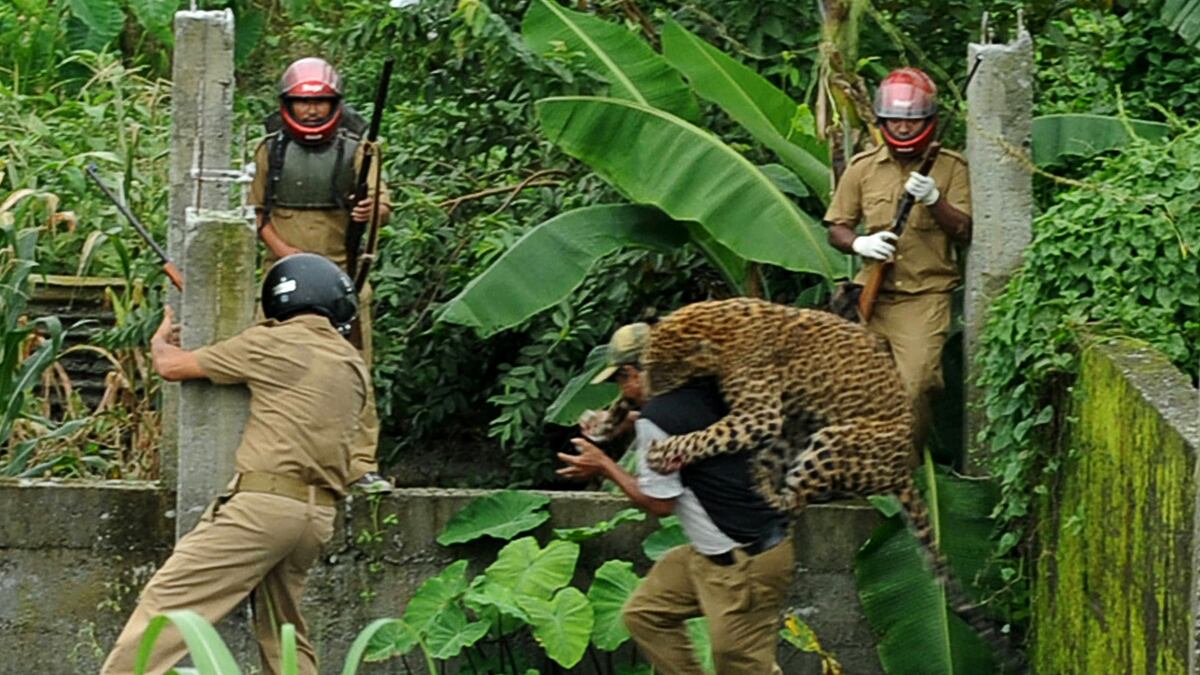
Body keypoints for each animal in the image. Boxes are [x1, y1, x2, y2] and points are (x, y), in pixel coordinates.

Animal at [638, 297, 1021, 671]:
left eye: (661, 370)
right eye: (647, 366)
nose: (646, 394)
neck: (720, 326)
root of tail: (901, 469)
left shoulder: (759, 416)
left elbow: (711, 435)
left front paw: (663, 452)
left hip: (833, 440)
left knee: (795, 499)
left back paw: (769, 497)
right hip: (797, 427)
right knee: (779, 477)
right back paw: (761, 480)